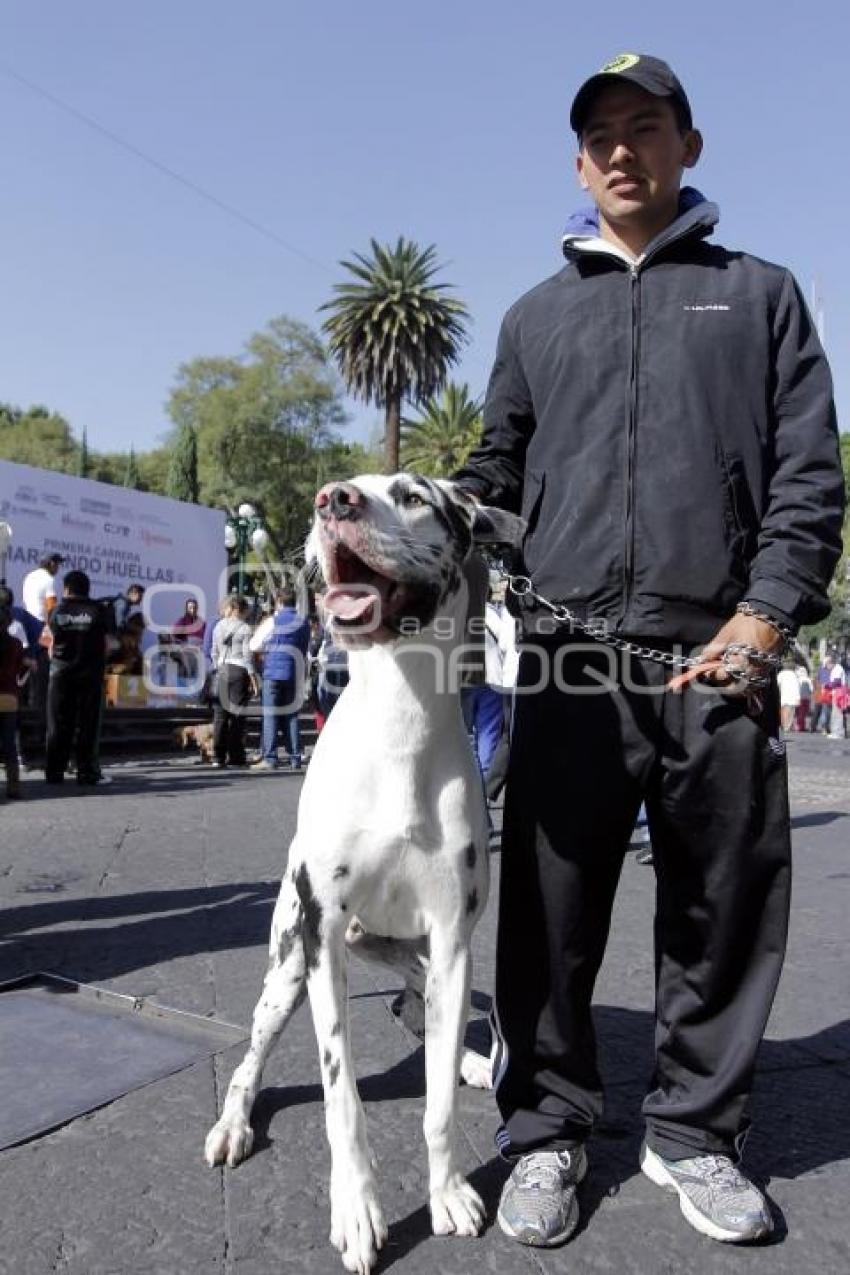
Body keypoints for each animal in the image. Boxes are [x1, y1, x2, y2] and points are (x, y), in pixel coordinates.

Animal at [205, 474, 522, 1269]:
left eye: (413, 496)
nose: (333, 499)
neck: (399, 721)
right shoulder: (324, 948)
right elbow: (340, 1101)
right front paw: (356, 1210)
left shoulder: (452, 940)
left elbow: (437, 1103)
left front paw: (448, 1190)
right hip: (291, 966)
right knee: (250, 1063)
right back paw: (233, 1123)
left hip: (418, 952)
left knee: (417, 1009)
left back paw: (471, 1059)